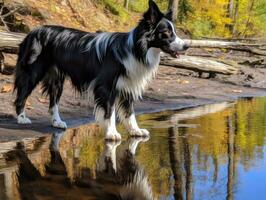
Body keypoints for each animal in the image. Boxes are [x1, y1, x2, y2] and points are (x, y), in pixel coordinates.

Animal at [13, 0, 188, 140]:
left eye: (174, 32)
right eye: (166, 33)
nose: (187, 45)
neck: (136, 49)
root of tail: (32, 31)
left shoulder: (128, 85)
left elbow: (130, 112)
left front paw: (135, 131)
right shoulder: (106, 86)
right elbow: (109, 112)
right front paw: (111, 133)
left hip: (57, 79)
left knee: (53, 103)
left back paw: (57, 122)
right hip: (32, 72)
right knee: (22, 95)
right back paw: (21, 118)